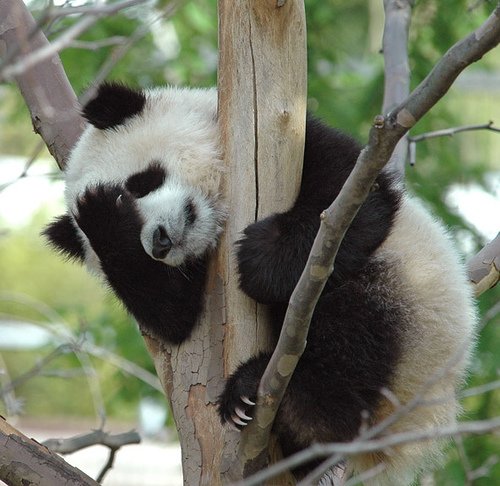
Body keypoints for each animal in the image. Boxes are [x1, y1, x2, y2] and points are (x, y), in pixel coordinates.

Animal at [44, 83, 476, 486]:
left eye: (139, 182)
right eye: (132, 239)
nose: (160, 242)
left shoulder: (320, 145)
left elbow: (353, 203)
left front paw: (261, 260)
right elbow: (173, 317)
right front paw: (101, 220)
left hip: (415, 305)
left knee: (352, 325)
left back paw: (280, 394)